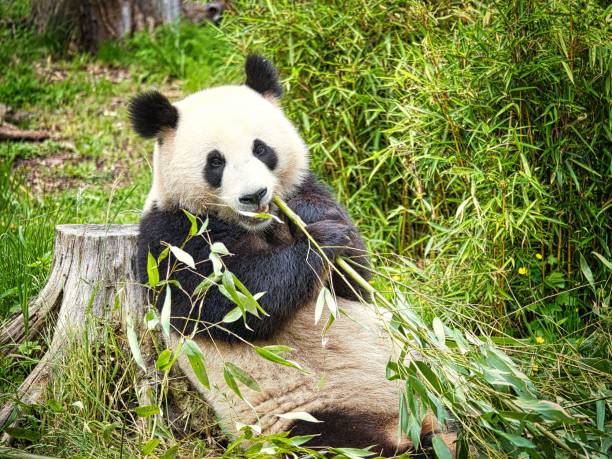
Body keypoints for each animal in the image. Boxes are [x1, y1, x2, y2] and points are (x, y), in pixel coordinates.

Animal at [129, 55, 454, 458]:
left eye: (261, 148)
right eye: (215, 162)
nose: (254, 195)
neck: (257, 225)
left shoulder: (307, 191)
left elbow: (354, 281)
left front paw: (315, 220)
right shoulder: (172, 236)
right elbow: (235, 299)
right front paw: (322, 241)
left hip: (427, 379)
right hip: (306, 418)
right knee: (341, 441)